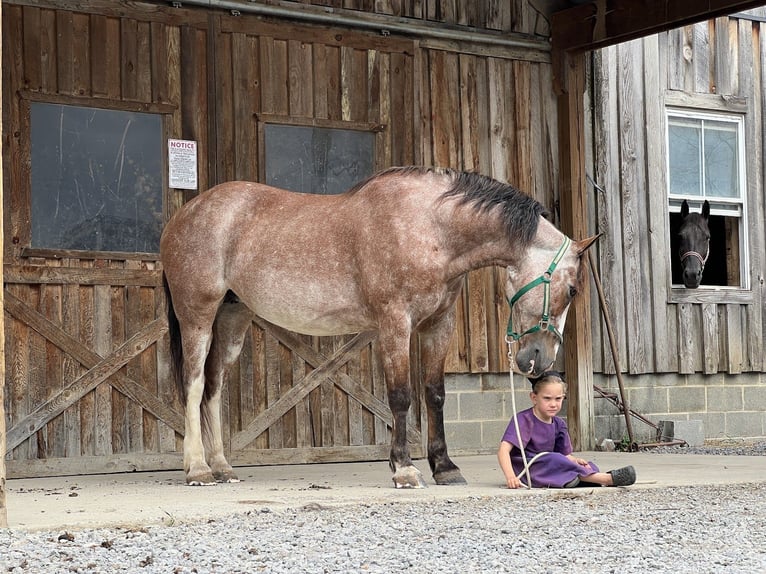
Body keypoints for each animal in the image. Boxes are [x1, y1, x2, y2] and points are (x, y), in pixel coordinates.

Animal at [159, 166, 596, 490]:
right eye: (573, 289)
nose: (539, 360)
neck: (431, 227)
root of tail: (185, 213)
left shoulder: (438, 324)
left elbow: (434, 394)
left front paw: (445, 468)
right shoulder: (395, 323)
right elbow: (400, 396)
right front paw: (404, 469)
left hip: (233, 318)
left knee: (213, 388)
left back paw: (222, 467)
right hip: (198, 316)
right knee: (194, 384)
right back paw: (198, 469)